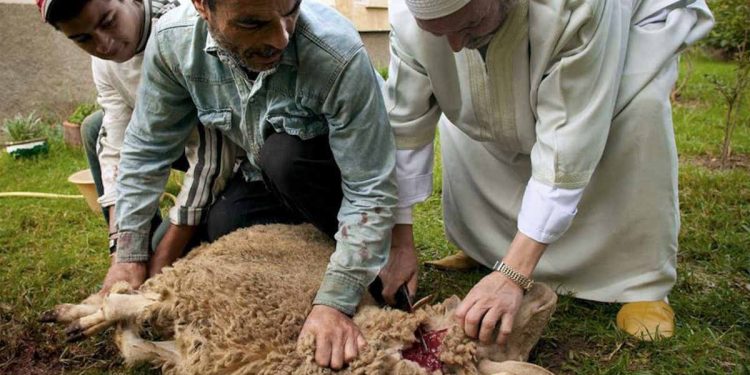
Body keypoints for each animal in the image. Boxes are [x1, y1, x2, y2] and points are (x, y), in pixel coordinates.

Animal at [42, 225, 560, 374]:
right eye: (494, 333)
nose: (545, 292)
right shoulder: (200, 295)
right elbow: (123, 309)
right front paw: (87, 319)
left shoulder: (204, 354)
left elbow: (132, 343)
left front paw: (98, 326)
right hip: (189, 270)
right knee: (127, 290)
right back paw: (74, 312)